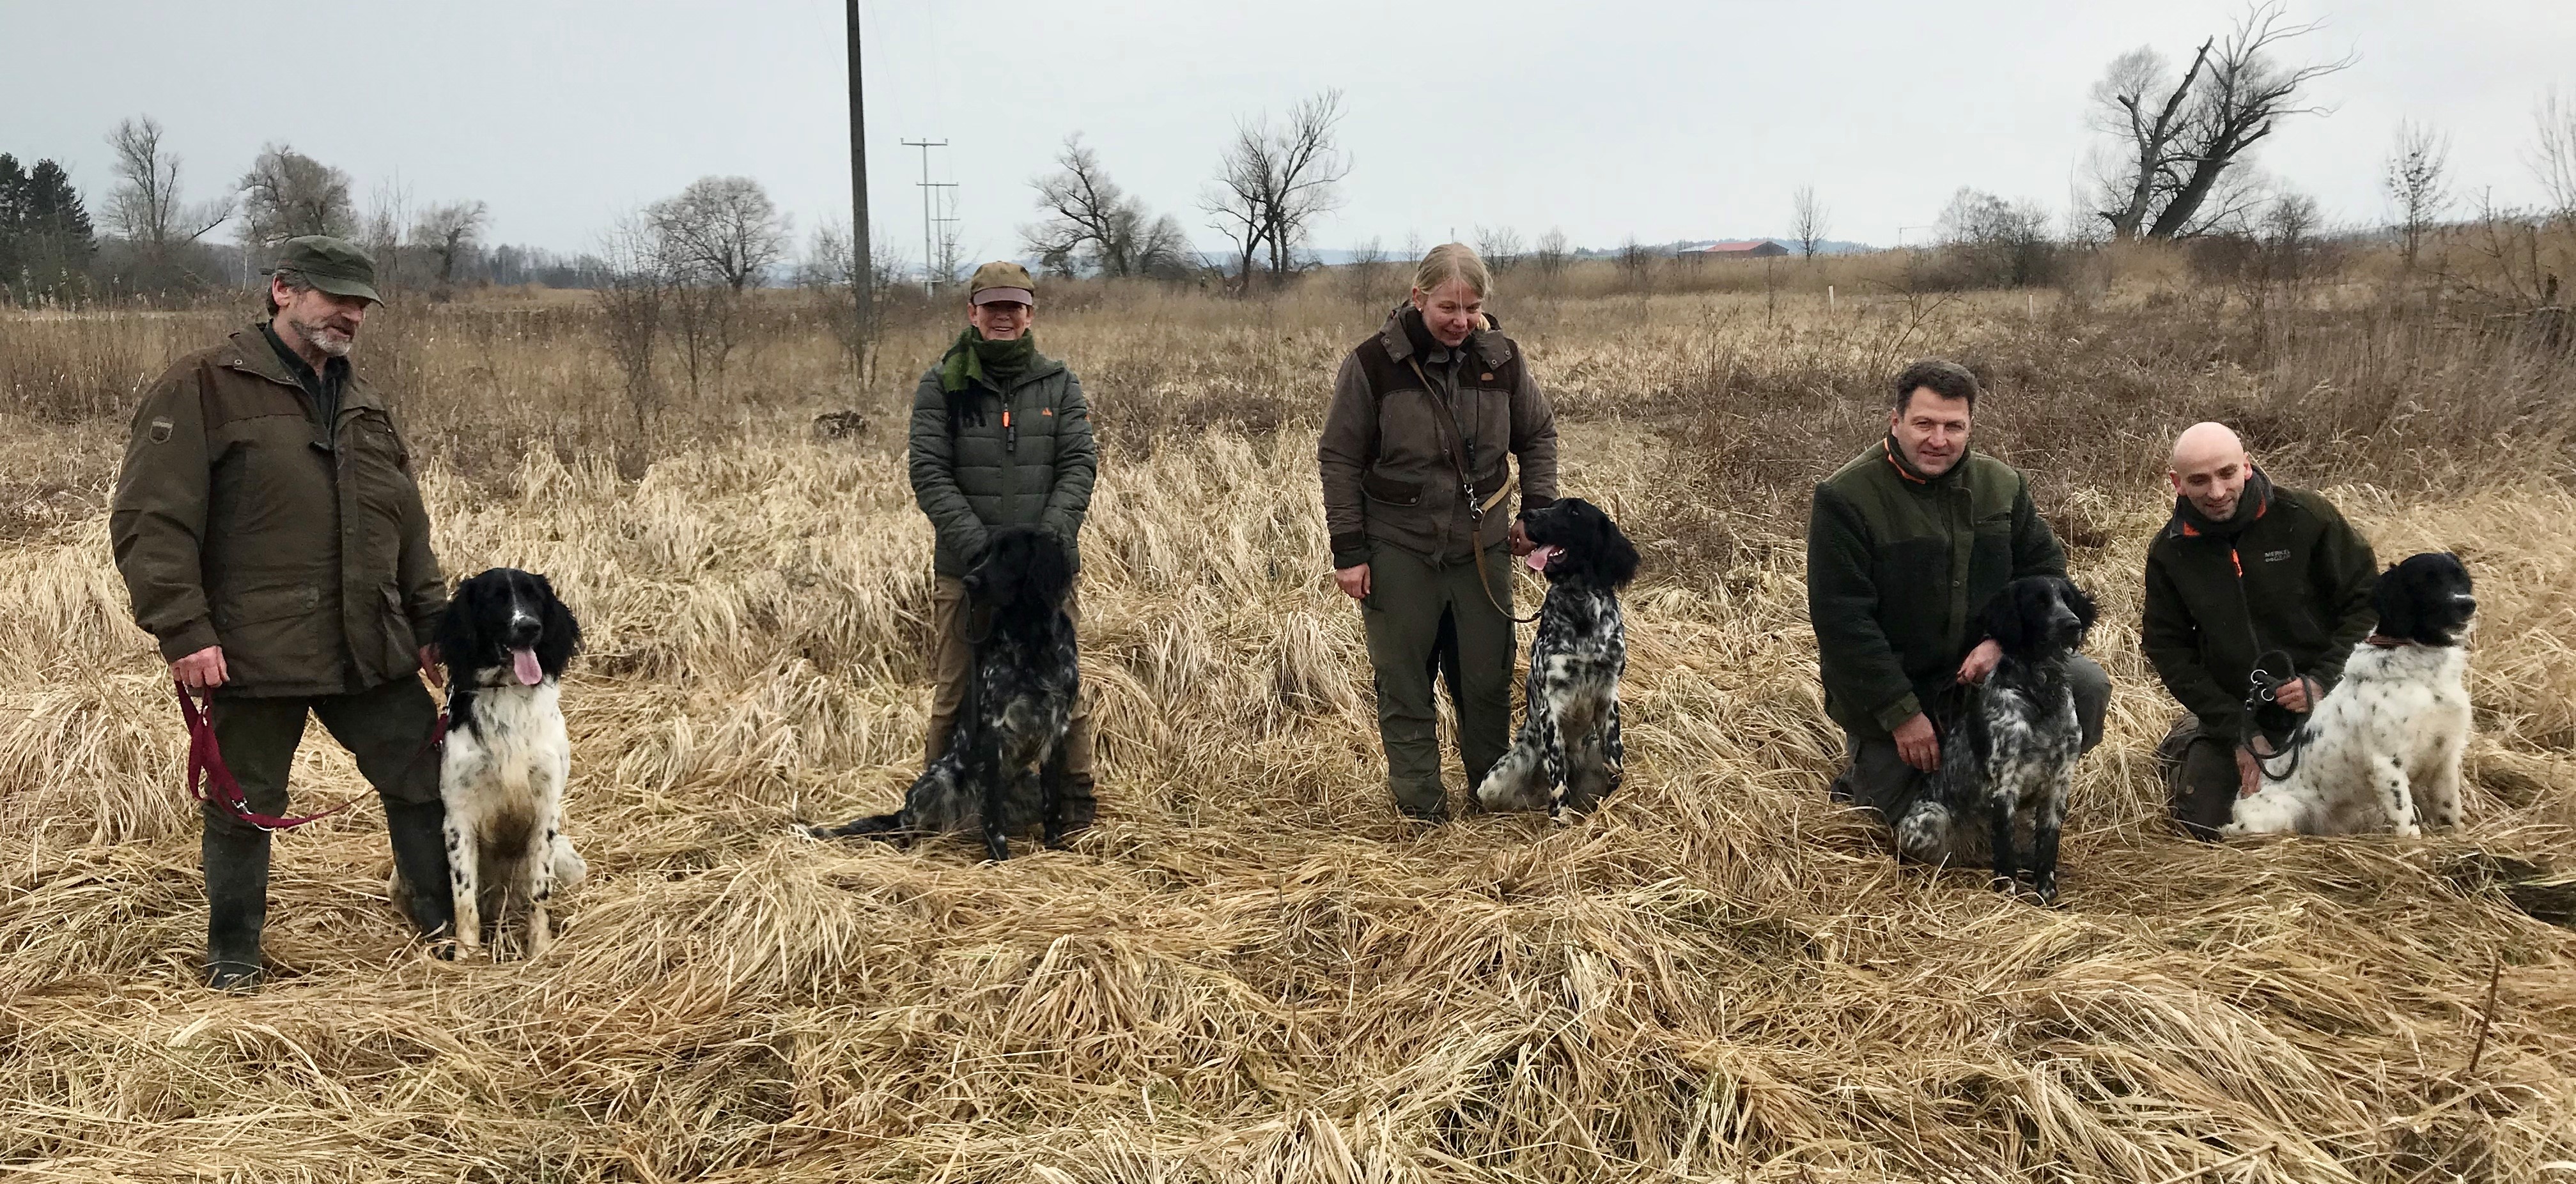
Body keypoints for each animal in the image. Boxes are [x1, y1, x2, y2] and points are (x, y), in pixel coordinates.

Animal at [391, 566, 584, 962]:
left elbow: (539, 895)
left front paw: (539, 950)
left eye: (533, 597)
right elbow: (464, 899)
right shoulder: (458, 817)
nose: (529, 627)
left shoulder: (546, 812)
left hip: (569, 859)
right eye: (495, 599)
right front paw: (467, 957)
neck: (507, 691)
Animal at [814, 527, 1076, 859]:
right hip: (936, 781)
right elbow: (993, 813)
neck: (1032, 637)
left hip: (1026, 783)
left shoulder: (1058, 727)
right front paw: (999, 857)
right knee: (908, 828)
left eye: (1007, 555)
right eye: (985, 553)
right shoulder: (993, 728)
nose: (969, 582)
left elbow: (1053, 800)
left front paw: (1056, 846)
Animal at [1473, 494, 1627, 818]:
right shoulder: (1551, 703)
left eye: (1573, 511)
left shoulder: (1609, 692)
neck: (1581, 610)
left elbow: (1614, 760)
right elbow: (1557, 773)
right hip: (1493, 784)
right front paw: (1561, 819)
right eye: (1552, 505)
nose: (1527, 515)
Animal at [1896, 579, 2091, 900]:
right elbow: (2004, 844)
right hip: (1932, 817)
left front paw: (2047, 890)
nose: (2073, 624)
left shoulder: (2060, 783)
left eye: (2068, 600)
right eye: (2038, 602)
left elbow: (2048, 844)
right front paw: (2008, 888)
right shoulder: (2004, 782)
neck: (2040, 690)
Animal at [2225, 551, 2483, 839]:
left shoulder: (2446, 754)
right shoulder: (2388, 764)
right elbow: (2407, 824)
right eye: (2427, 583)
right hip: (2280, 811)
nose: (2468, 603)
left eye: (2459, 578)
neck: (2424, 675)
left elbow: (2451, 809)